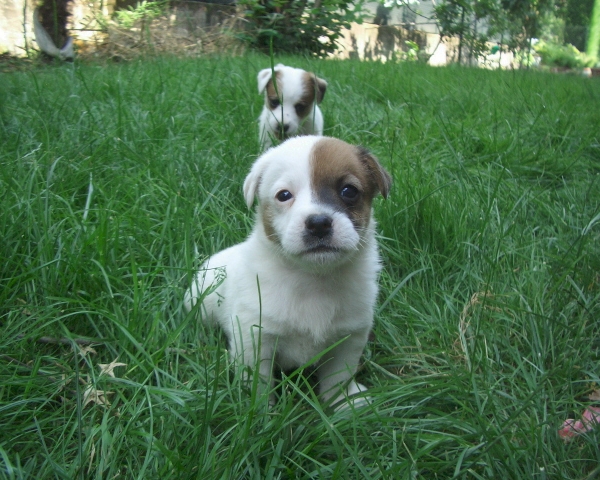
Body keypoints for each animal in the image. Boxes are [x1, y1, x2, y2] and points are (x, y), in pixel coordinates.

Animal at [185, 135, 392, 408]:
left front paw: (344, 402)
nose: (318, 223)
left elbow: (338, 376)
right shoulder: (254, 340)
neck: (313, 279)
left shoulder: (349, 338)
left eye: (349, 191)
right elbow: (259, 384)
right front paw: (261, 411)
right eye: (284, 195)